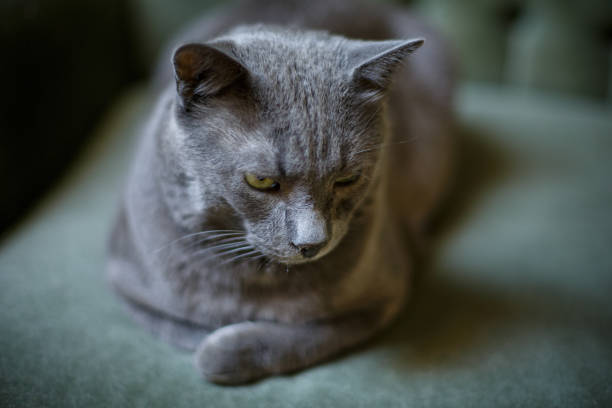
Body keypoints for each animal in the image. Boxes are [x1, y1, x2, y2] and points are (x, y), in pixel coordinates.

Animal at [109, 0, 454, 384]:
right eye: (260, 181)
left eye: (348, 179)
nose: (312, 243)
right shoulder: (126, 282)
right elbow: (186, 326)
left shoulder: (388, 292)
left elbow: (304, 337)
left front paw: (230, 346)